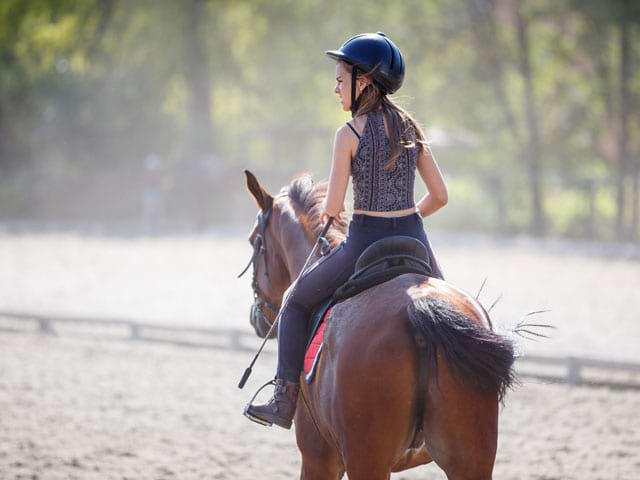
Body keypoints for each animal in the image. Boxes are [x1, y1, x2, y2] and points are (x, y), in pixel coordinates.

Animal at [241, 171, 516, 478]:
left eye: (253, 242)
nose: (257, 317)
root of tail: (418, 307)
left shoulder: (318, 456)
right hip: (470, 460)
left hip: (366, 456)